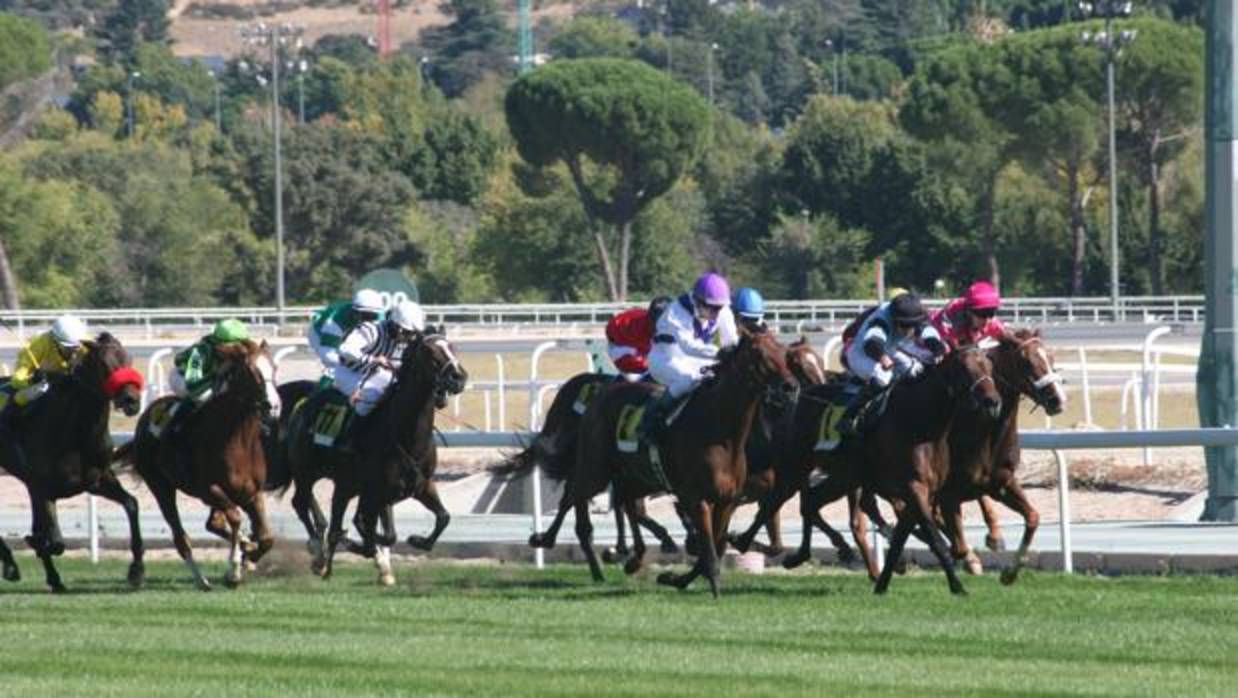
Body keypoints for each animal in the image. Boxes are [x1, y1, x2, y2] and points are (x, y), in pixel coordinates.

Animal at [0, 331, 143, 589]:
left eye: (129, 359)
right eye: (104, 364)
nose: (131, 400)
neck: (74, 432)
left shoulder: (97, 481)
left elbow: (131, 504)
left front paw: (136, 571)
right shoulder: (42, 488)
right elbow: (54, 541)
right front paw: (35, 543)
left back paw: (52, 578)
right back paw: (11, 564)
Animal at [116, 339, 281, 589]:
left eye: (274, 368)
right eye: (253, 372)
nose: (274, 406)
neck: (237, 441)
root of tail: (145, 420)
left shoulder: (252, 493)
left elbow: (267, 537)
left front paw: (249, 557)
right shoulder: (209, 490)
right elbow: (235, 517)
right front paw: (234, 570)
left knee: (213, 524)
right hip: (160, 486)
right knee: (181, 537)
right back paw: (201, 580)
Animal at [278, 331, 465, 584]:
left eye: (452, 347)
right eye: (429, 351)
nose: (458, 377)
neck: (405, 436)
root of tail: (307, 400)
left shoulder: (421, 485)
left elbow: (442, 517)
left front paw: (416, 541)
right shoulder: (376, 491)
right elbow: (375, 532)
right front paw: (360, 545)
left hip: (346, 484)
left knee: (329, 513)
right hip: (306, 471)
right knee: (302, 503)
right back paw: (318, 552)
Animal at [567, 329, 792, 596]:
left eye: (782, 350)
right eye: (758, 353)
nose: (790, 386)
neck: (721, 432)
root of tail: (599, 397)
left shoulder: (727, 499)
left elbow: (715, 545)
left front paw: (676, 578)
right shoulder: (696, 499)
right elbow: (708, 548)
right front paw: (709, 586)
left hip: (639, 476)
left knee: (627, 501)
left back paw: (634, 558)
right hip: (595, 470)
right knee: (576, 497)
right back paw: (593, 560)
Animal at [935, 329, 1064, 581]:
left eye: (1051, 358)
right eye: (1026, 363)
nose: (1057, 399)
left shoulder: (1002, 482)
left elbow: (1033, 517)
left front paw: (1011, 571)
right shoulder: (948, 491)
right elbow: (957, 539)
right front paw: (977, 552)